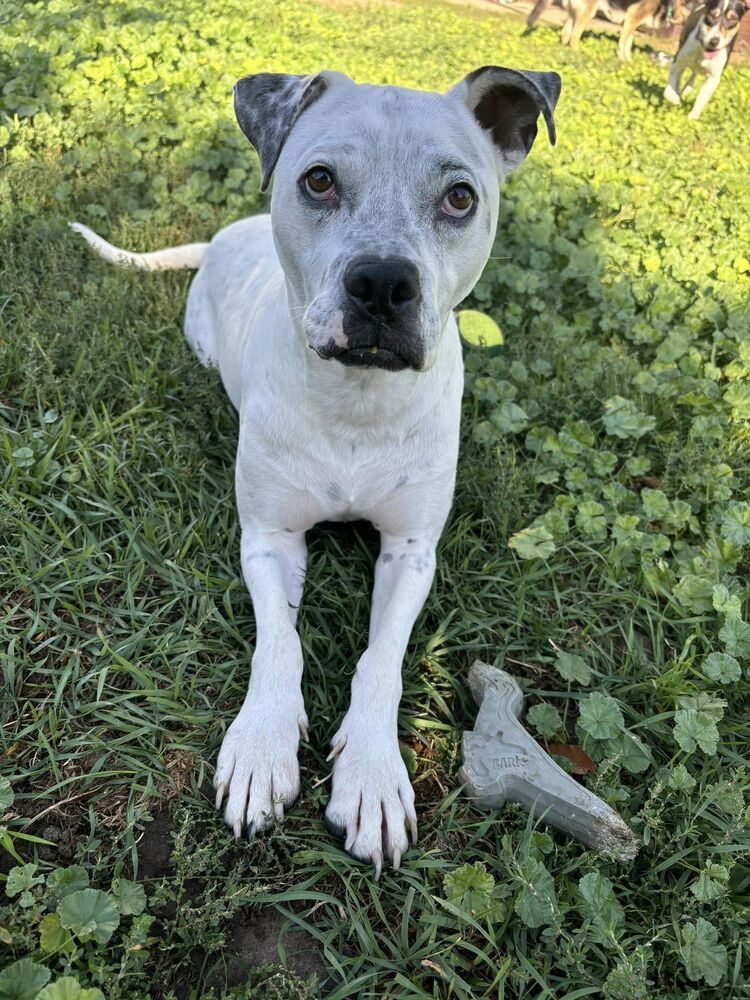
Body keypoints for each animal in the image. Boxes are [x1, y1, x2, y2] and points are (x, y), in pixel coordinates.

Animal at [72, 64, 560, 876]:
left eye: (461, 197)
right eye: (320, 180)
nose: (383, 283)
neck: (356, 402)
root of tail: (223, 234)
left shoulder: (411, 554)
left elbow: (382, 659)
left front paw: (372, 773)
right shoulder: (269, 540)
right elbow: (282, 642)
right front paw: (262, 746)